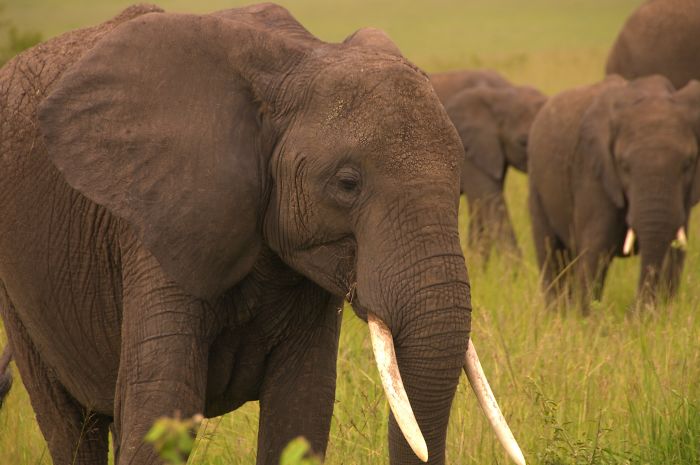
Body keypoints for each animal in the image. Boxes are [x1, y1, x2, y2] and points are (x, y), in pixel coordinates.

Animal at [0, 4, 524, 465]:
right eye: (347, 183)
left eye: (459, 174)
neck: (298, 61)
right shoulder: (157, 221)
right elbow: (163, 405)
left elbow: (302, 407)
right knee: (71, 427)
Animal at [528, 74, 700, 313]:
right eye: (624, 166)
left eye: (688, 164)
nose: (632, 309)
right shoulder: (593, 172)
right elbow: (597, 250)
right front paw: (585, 319)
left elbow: (675, 252)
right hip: (537, 184)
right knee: (552, 254)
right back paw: (556, 313)